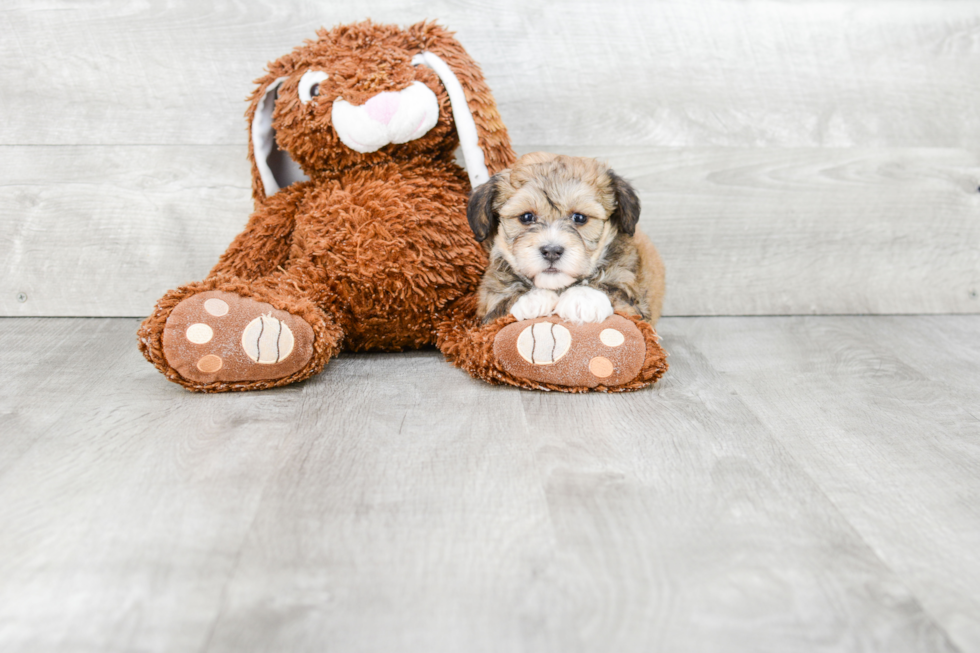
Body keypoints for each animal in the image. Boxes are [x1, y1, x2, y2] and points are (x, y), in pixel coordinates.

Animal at [468, 153, 668, 326]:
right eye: (526, 217)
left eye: (580, 218)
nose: (551, 251)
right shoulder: (486, 308)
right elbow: (498, 300)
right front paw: (532, 299)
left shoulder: (634, 302)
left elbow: (613, 289)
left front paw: (583, 298)